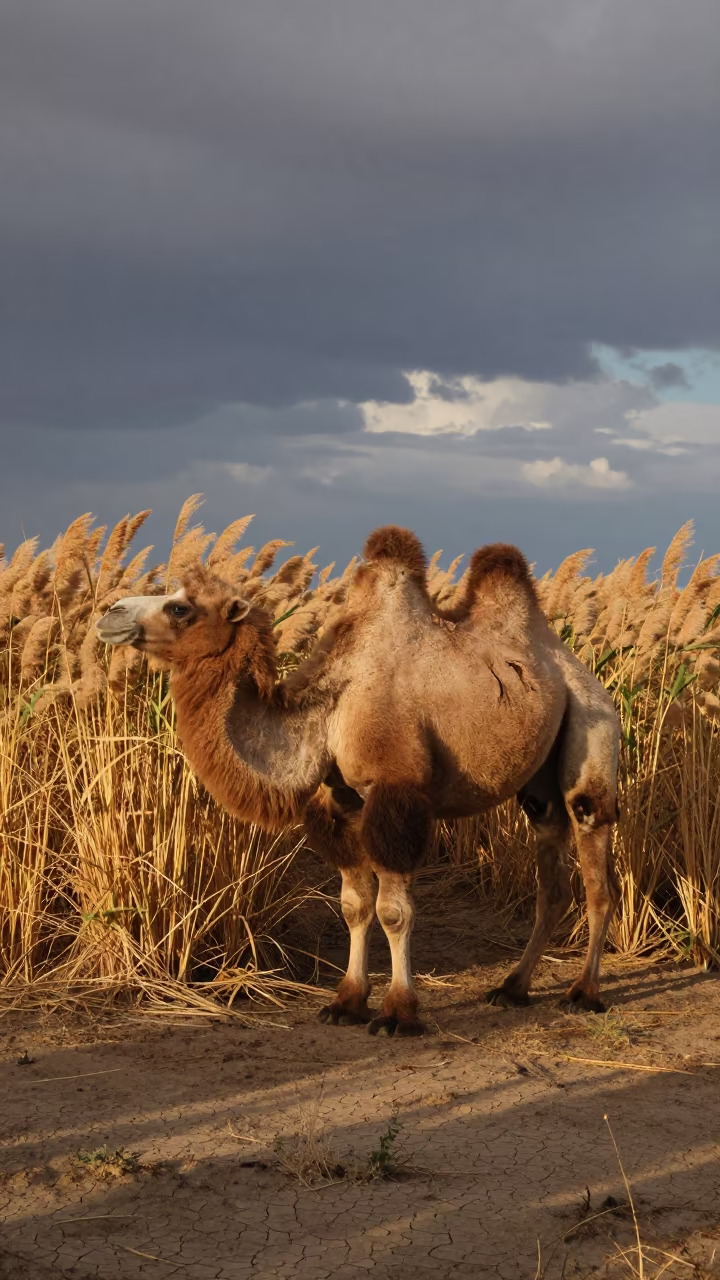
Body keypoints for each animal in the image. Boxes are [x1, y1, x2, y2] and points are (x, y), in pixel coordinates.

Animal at [96, 526, 621, 1036]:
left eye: (180, 607)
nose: (109, 613)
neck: (329, 711)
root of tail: (578, 668)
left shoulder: (396, 796)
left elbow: (394, 911)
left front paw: (398, 1013)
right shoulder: (339, 802)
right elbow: (354, 904)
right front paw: (346, 1002)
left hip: (591, 727)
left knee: (596, 864)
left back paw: (584, 992)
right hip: (539, 781)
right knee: (552, 877)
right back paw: (513, 988)